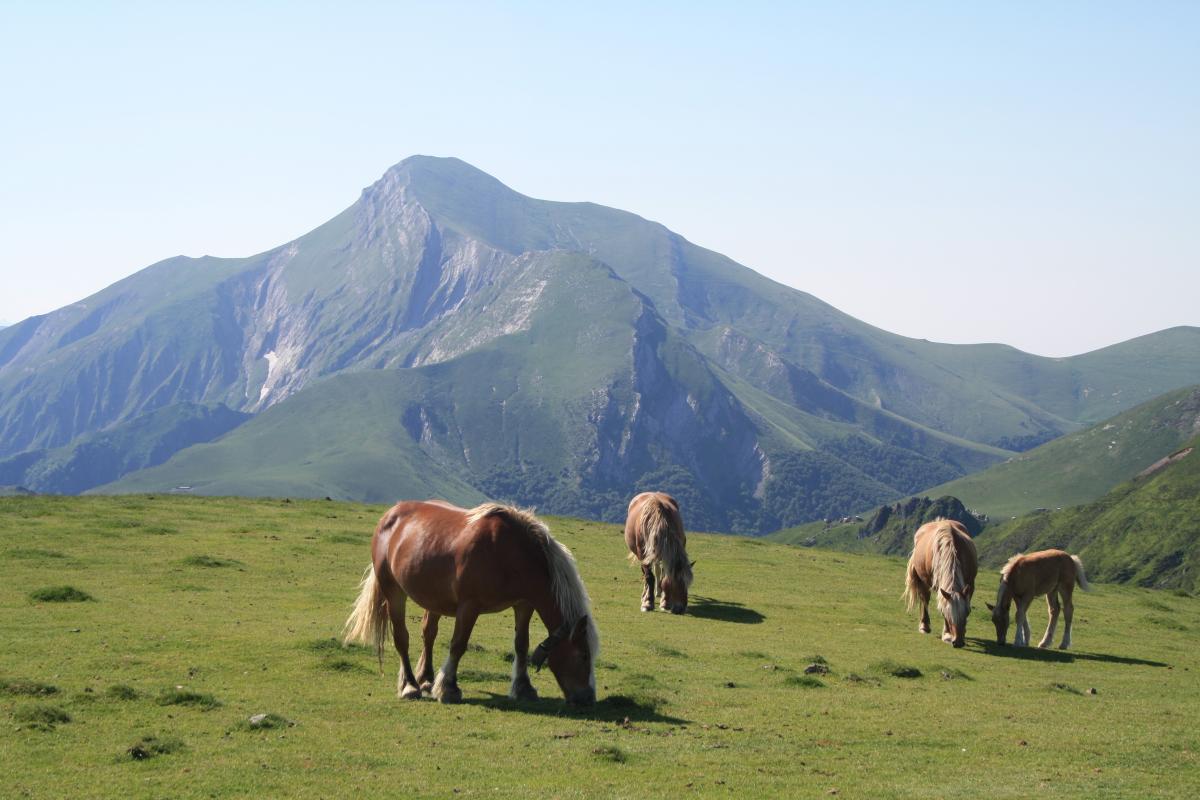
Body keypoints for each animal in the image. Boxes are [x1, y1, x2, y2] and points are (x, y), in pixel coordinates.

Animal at [345, 501, 597, 705]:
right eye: (584, 656)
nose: (587, 698)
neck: (508, 552)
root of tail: (390, 515)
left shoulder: (524, 604)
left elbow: (521, 645)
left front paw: (524, 688)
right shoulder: (469, 606)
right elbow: (458, 644)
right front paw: (448, 689)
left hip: (433, 599)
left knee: (428, 633)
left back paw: (426, 680)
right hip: (393, 592)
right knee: (401, 638)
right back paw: (410, 686)